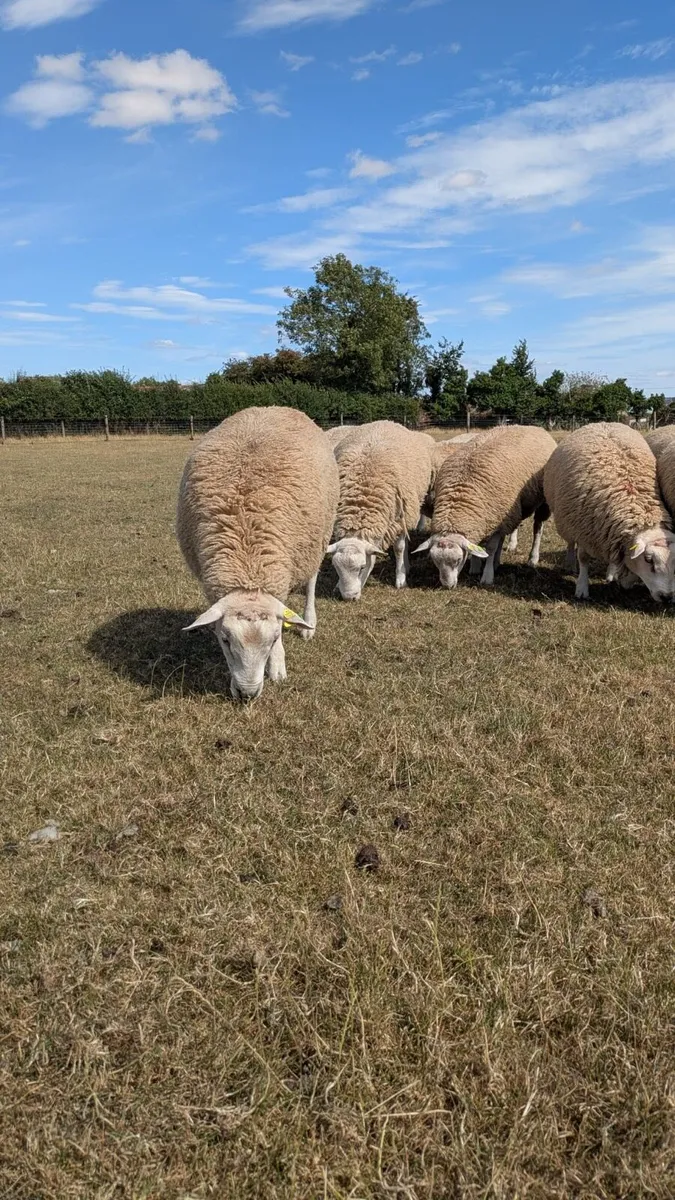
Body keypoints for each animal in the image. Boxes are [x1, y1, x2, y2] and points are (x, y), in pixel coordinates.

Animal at [177, 406, 339, 700]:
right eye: (225, 640)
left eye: (274, 639)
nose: (248, 693)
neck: (248, 563)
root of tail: (271, 407)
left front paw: (277, 667)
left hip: (316, 540)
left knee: (311, 582)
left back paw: (309, 622)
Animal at [328, 420, 434, 599]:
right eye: (336, 569)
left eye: (362, 567)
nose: (349, 597)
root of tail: (385, 421)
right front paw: (336, 586)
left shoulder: (398, 518)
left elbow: (399, 548)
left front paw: (400, 579)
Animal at [415, 425, 556, 588]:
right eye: (436, 562)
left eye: (458, 560)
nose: (447, 586)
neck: (461, 495)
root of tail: (536, 427)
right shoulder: (486, 516)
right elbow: (477, 545)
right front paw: (476, 566)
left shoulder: (496, 514)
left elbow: (491, 548)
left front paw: (487, 576)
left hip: (537, 502)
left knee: (537, 528)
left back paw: (532, 558)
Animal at [543, 422, 675, 602]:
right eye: (648, 560)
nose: (667, 596)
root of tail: (602, 423)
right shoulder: (583, 527)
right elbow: (583, 558)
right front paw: (582, 588)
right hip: (567, 518)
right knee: (570, 542)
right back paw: (570, 563)